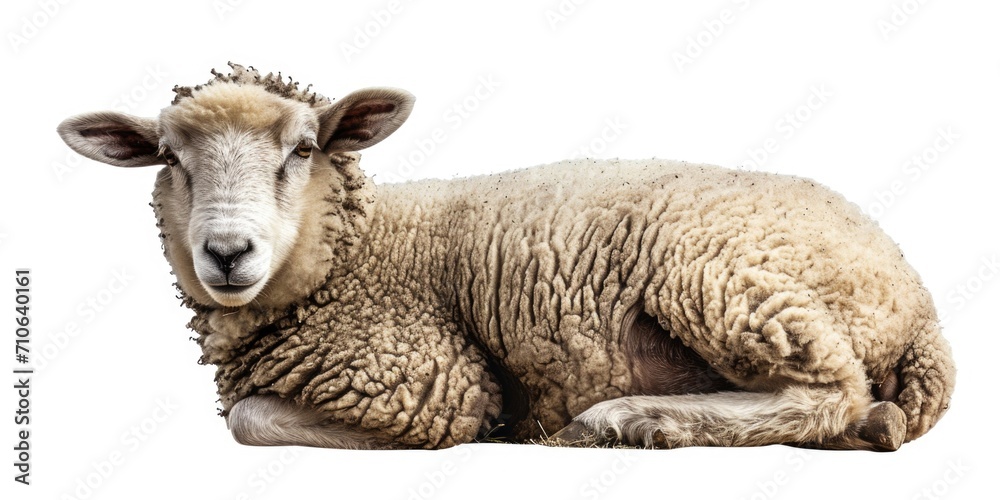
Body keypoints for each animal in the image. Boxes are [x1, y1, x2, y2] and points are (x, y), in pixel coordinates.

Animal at [57, 63, 955, 451]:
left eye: (303, 149)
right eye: (170, 157)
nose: (227, 253)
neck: (360, 253)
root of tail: (917, 297)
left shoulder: (432, 379)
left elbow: (249, 419)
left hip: (722, 277)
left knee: (829, 390)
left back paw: (635, 421)